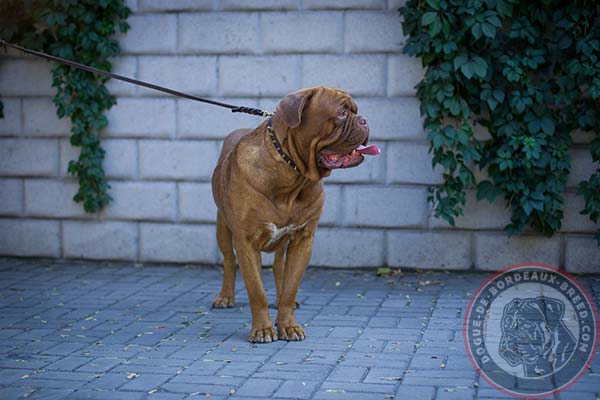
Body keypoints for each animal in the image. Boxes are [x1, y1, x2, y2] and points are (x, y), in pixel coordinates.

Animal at [212, 86, 380, 342]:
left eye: (356, 111)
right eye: (341, 113)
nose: (365, 120)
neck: (291, 175)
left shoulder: (303, 239)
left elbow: (290, 287)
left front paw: (288, 325)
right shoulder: (246, 241)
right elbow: (256, 290)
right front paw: (262, 329)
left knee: (279, 268)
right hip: (222, 227)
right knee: (229, 261)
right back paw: (225, 297)